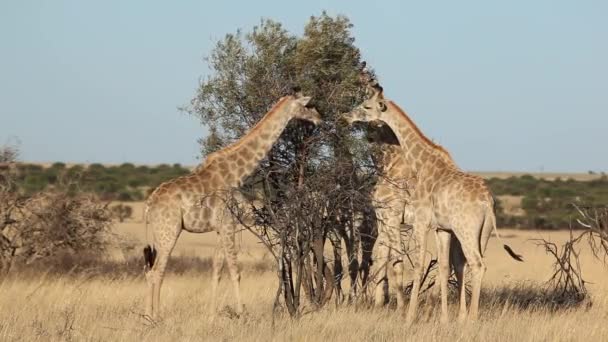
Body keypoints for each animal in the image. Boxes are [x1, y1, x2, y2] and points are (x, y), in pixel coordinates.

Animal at [143, 92, 324, 320]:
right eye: (308, 105)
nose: (320, 118)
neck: (237, 172)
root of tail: (149, 204)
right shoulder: (229, 223)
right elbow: (235, 272)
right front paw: (242, 314)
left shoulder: (221, 227)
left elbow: (217, 271)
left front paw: (211, 316)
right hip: (170, 231)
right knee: (157, 272)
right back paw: (156, 317)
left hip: (159, 234)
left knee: (150, 271)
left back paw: (148, 316)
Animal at [342, 82, 524, 324]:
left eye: (366, 106)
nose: (345, 117)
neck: (420, 164)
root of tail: (487, 202)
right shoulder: (440, 228)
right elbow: (441, 267)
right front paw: (443, 318)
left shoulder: (416, 222)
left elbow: (413, 265)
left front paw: (408, 316)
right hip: (482, 233)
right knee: (467, 265)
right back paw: (463, 317)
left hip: (465, 230)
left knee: (476, 264)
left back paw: (471, 319)